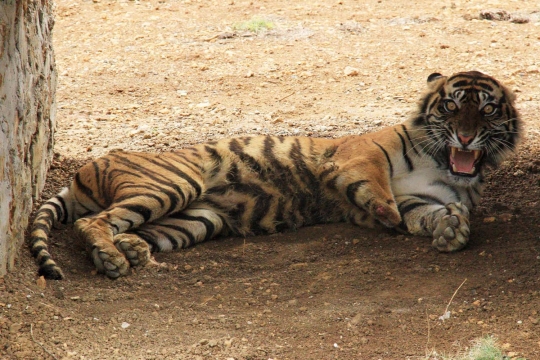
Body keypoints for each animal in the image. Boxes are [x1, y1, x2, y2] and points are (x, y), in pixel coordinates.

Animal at [28, 69, 520, 278]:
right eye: (451, 106)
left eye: (487, 109)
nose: (465, 137)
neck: (445, 165)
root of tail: (81, 173)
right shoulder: (359, 153)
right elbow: (378, 184)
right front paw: (384, 212)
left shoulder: (424, 199)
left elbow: (433, 216)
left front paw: (452, 232)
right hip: (173, 184)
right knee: (94, 222)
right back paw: (112, 259)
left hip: (196, 218)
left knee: (127, 227)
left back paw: (128, 251)